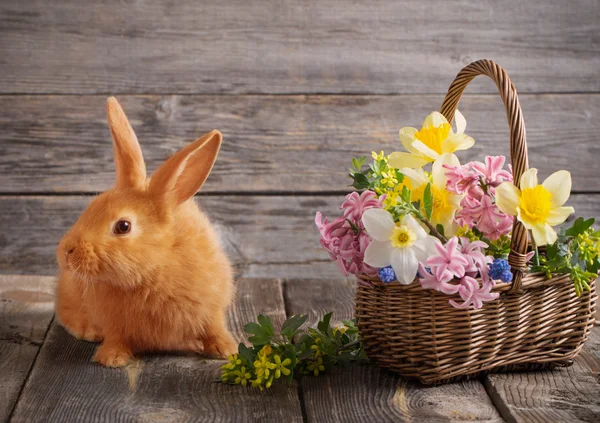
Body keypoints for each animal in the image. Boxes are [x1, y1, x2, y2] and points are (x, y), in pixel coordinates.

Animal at [54, 97, 237, 368]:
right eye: (91, 206)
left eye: (123, 226)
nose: (66, 251)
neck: (154, 271)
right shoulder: (114, 323)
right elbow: (116, 337)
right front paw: (112, 358)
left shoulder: (212, 307)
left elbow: (213, 327)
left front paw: (226, 350)